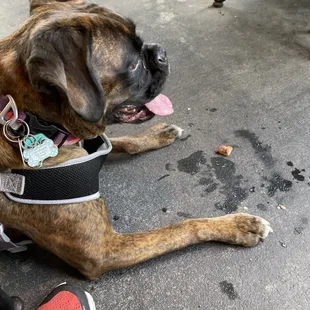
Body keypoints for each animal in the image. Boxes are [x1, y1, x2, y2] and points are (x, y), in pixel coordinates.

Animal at [0, 0, 272, 280]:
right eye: (132, 65)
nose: (161, 52)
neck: (32, 117)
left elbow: (123, 141)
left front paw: (156, 135)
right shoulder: (101, 249)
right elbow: (183, 227)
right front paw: (236, 225)